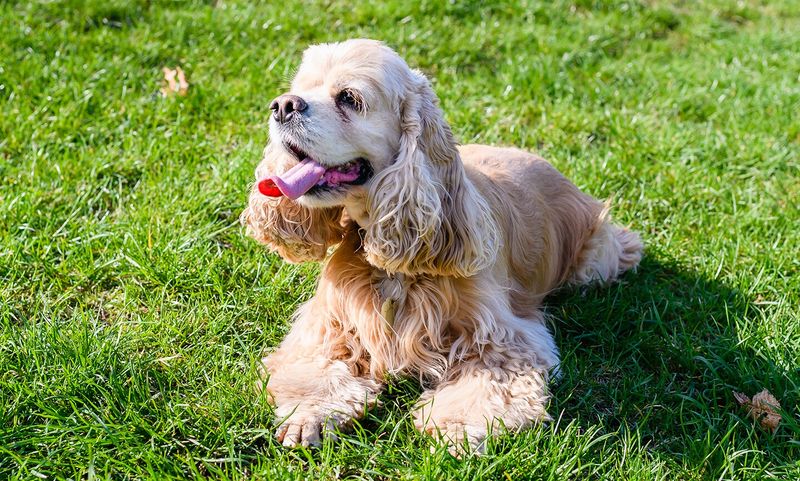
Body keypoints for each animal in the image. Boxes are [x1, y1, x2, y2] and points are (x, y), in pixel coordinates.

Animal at [239, 38, 644, 454]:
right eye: (300, 89)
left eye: (349, 98)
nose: (282, 105)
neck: (393, 267)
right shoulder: (326, 325)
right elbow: (316, 368)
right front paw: (307, 415)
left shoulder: (505, 339)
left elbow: (485, 385)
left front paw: (458, 427)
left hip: (597, 255)